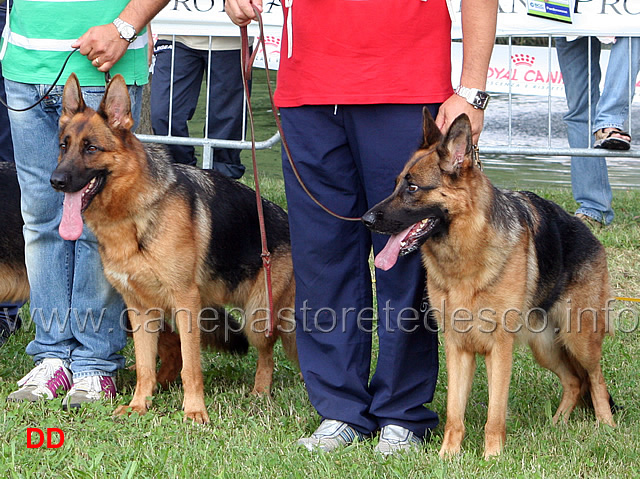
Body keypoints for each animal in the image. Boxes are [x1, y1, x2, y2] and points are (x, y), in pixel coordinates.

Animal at [49, 73, 298, 426]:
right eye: (64, 146)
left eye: (91, 148)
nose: (55, 181)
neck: (132, 214)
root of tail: (285, 219)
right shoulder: (139, 309)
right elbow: (144, 365)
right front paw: (139, 405)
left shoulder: (186, 302)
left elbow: (192, 366)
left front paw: (194, 410)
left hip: (257, 317)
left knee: (267, 354)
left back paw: (260, 392)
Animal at [362, 110, 612, 460]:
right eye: (396, 184)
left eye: (412, 187)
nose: (366, 219)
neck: (467, 251)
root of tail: (588, 234)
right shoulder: (457, 348)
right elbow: (455, 412)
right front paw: (448, 455)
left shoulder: (499, 349)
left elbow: (495, 412)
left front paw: (492, 456)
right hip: (545, 347)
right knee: (575, 381)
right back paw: (558, 424)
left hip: (580, 339)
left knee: (595, 378)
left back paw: (606, 425)